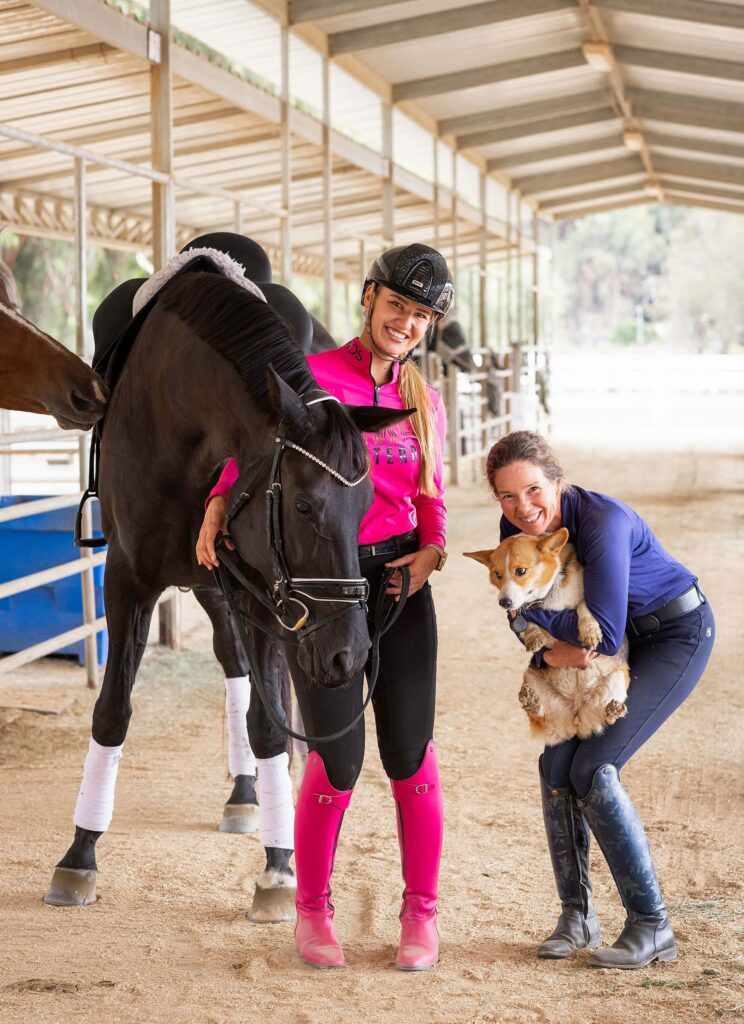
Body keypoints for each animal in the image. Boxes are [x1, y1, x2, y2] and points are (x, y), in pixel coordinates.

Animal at [43, 264, 407, 921]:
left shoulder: (264, 596)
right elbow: (112, 712)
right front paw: (79, 856)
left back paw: (257, 791)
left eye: (368, 505)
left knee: (257, 684)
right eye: (304, 505)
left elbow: (269, 724)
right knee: (235, 665)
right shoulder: (127, 580)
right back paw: (246, 791)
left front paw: (280, 866)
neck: (179, 418)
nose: (350, 654)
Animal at [466, 528, 630, 745]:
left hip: (618, 679)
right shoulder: (519, 613)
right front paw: (533, 636)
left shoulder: (588, 598)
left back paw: (612, 710)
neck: (546, 596)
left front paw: (589, 631)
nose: (504, 602)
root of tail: (576, 718)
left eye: (520, 571)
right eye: (497, 575)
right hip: (531, 681)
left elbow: (583, 606)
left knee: (608, 717)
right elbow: (526, 621)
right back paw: (533, 704)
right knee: (540, 717)